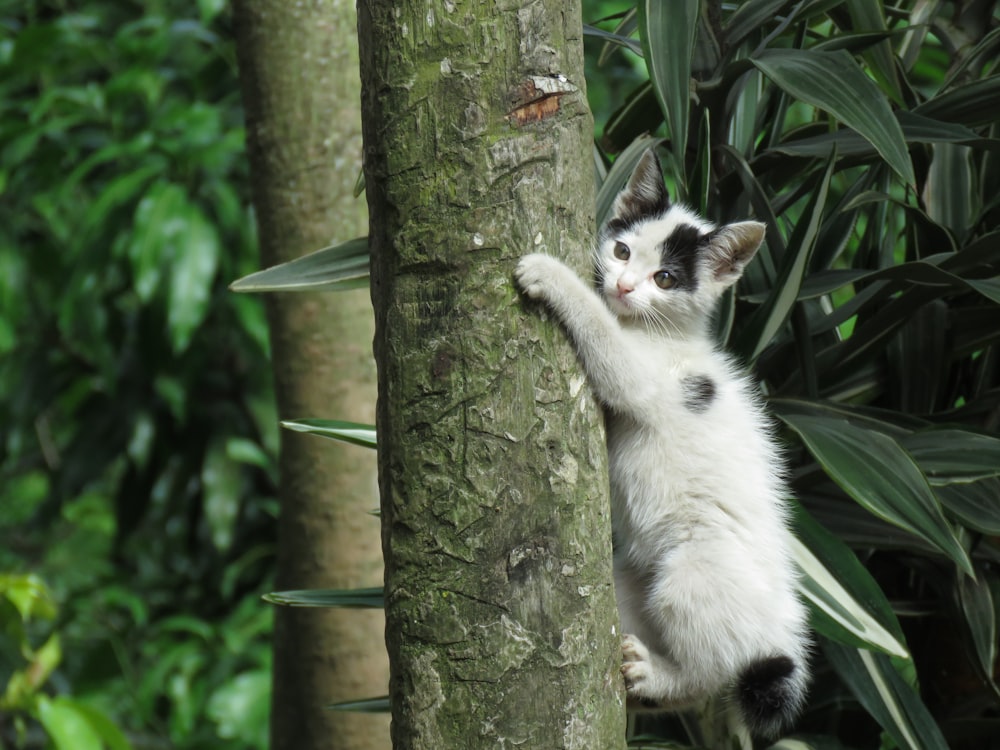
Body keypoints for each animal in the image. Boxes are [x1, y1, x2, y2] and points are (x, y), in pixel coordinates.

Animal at [512, 148, 808, 740]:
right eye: (622, 250)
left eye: (666, 278)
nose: (624, 286)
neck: (662, 333)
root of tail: (782, 632)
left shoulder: (645, 375)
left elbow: (604, 340)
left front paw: (550, 273)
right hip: (628, 577)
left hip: (691, 572)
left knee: (712, 674)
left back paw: (660, 678)